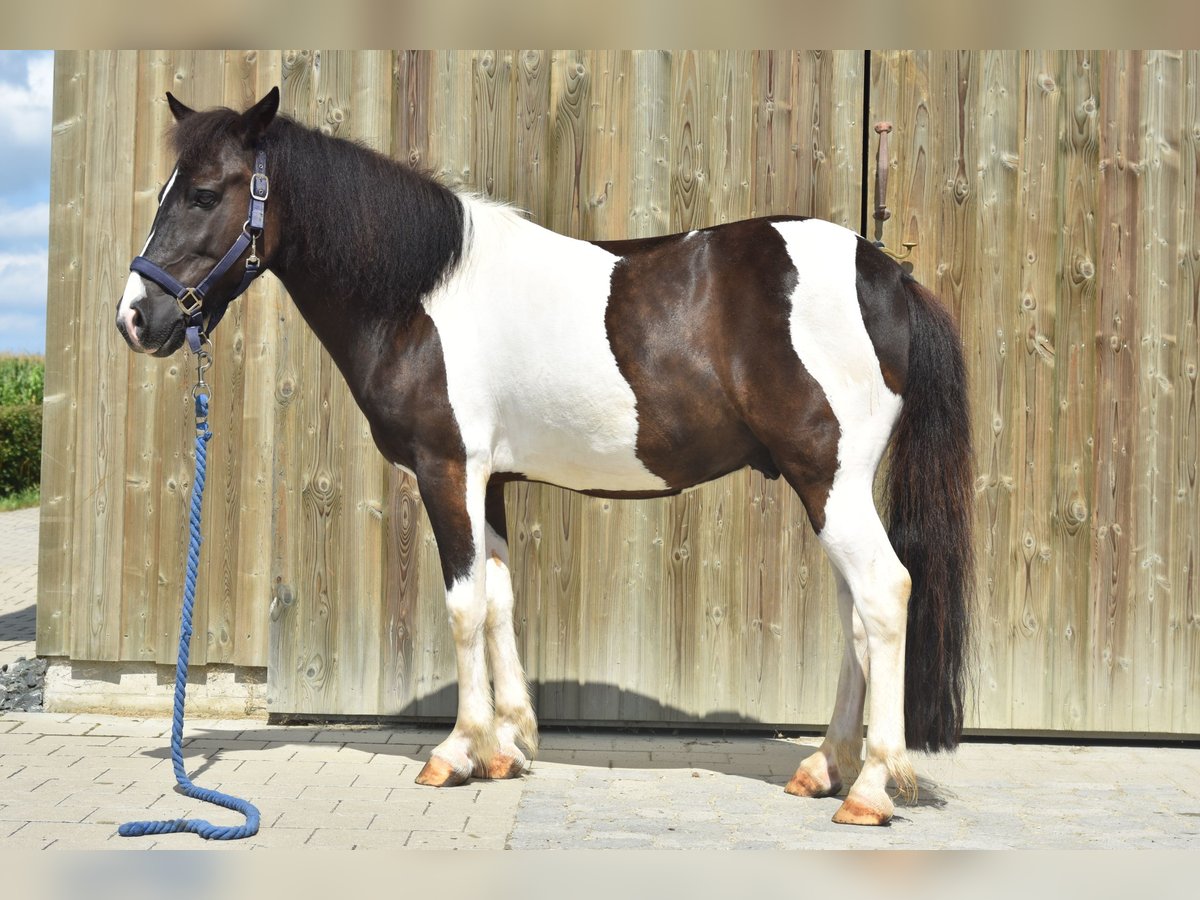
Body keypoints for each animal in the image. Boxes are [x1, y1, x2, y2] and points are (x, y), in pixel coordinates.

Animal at [117, 88, 969, 830]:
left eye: (203, 193)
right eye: (167, 190)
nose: (135, 318)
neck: (423, 294)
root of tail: (888, 274)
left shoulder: (447, 469)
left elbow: (463, 606)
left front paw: (456, 752)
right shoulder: (488, 480)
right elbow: (498, 600)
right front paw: (509, 747)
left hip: (830, 483)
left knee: (884, 595)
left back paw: (870, 788)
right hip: (824, 488)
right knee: (856, 616)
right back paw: (824, 767)